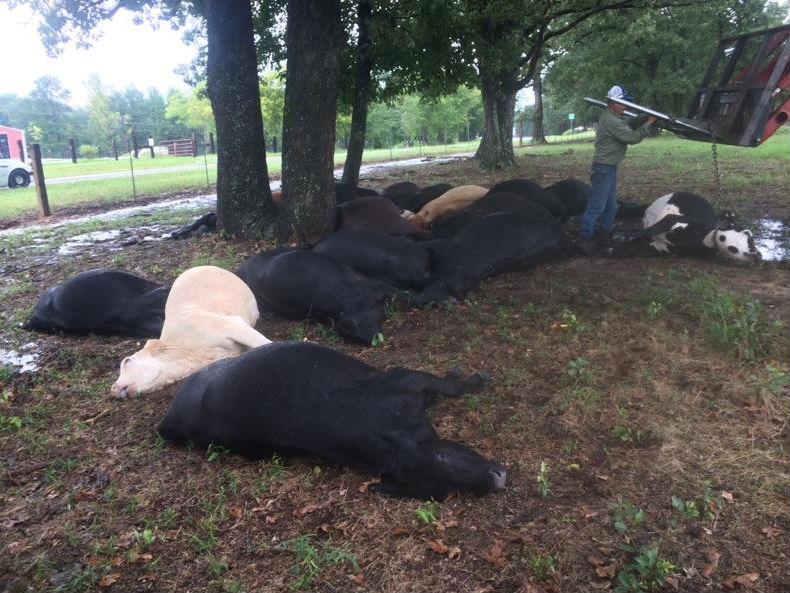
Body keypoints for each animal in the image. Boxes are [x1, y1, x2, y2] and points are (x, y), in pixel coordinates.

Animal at [159, 342, 508, 500]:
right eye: (440, 488)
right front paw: (470, 378)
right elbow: (450, 385)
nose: (498, 479)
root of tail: (169, 421)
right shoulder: (406, 379)